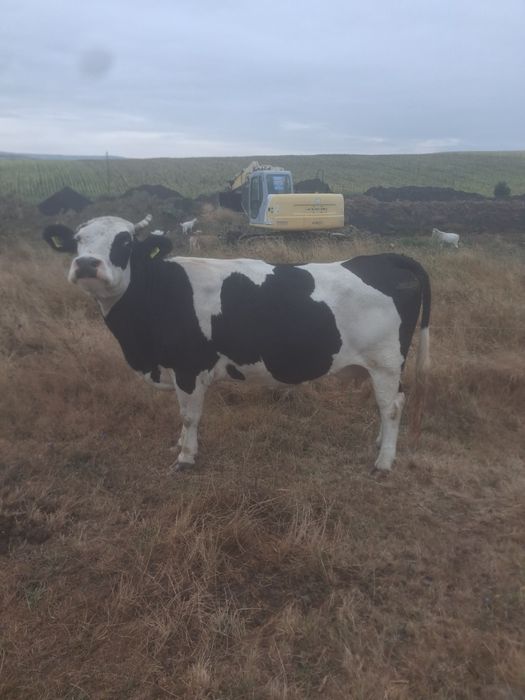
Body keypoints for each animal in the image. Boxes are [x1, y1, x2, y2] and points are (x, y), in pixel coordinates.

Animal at [43, 215, 431, 473]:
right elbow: (183, 414)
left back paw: (384, 461)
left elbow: (190, 415)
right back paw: (380, 445)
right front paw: (180, 445)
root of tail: (383, 257)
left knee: (392, 406)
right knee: (388, 405)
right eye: (77, 240)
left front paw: (185, 457)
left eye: (124, 243)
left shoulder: (188, 366)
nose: (87, 264)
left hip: (384, 362)